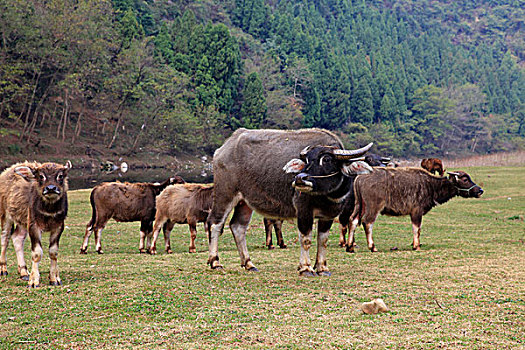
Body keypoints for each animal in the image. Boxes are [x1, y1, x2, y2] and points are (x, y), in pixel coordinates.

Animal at [205, 127, 372, 274]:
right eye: (307, 160)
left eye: (327, 159)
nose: (300, 178)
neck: (327, 195)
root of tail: (222, 149)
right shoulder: (304, 210)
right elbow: (306, 239)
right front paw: (306, 268)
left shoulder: (328, 215)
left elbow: (322, 240)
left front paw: (322, 268)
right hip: (225, 194)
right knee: (215, 223)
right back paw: (215, 262)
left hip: (244, 202)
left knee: (238, 227)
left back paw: (248, 264)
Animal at [346, 167, 482, 252]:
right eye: (465, 179)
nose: (480, 190)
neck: (431, 185)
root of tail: (360, 178)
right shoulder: (416, 211)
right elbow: (417, 228)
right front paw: (416, 246)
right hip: (373, 207)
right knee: (367, 222)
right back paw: (372, 247)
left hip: (359, 205)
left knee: (352, 220)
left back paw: (350, 247)